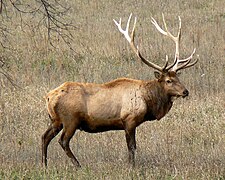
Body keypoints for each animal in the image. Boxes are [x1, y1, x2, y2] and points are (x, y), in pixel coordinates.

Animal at [41, 13, 197, 168]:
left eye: (178, 77)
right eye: (168, 80)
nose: (185, 91)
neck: (148, 101)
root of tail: (48, 97)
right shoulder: (129, 120)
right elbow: (132, 146)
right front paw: (131, 166)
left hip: (55, 120)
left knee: (44, 137)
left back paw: (44, 164)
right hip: (70, 119)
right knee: (63, 141)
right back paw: (78, 165)